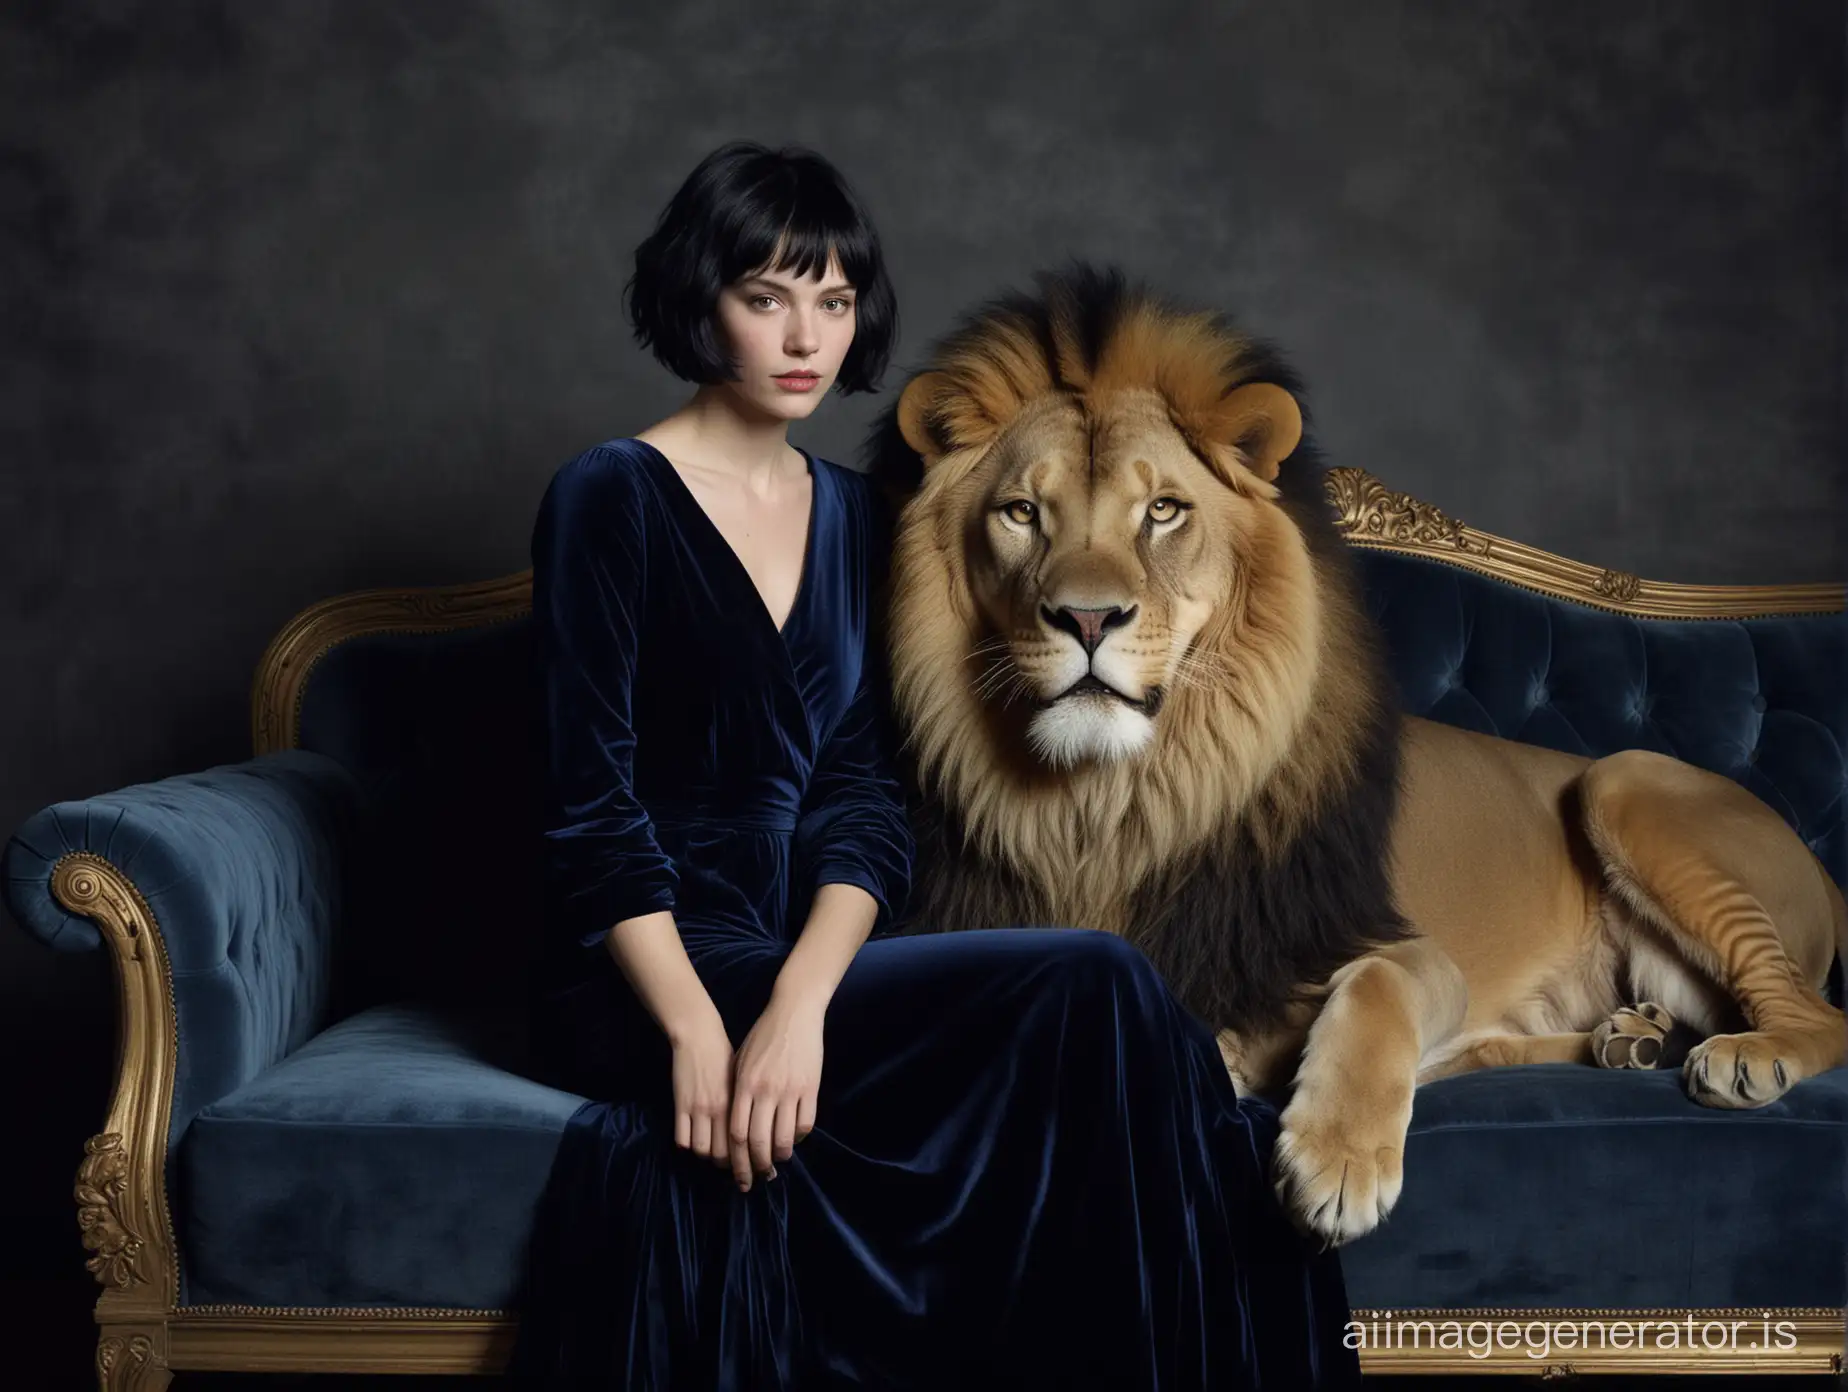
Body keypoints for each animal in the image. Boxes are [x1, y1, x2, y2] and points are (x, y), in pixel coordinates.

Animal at [872, 266, 1848, 1242]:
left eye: (1162, 512)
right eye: (1021, 514)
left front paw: (1336, 1158)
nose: (1085, 618)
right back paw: (1628, 1040)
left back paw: (1739, 1055)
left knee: (1819, 1013)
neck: (1110, 801)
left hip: (1622, 779)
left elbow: (1372, 982)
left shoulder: (1411, 955)